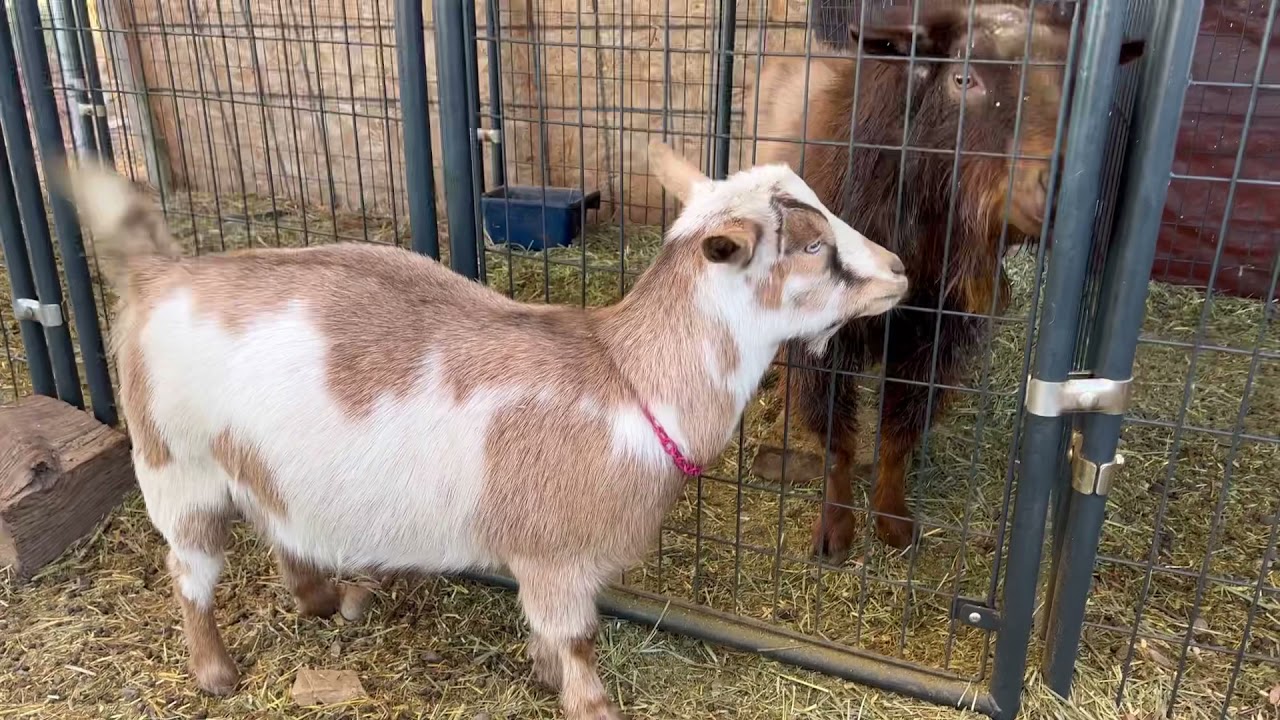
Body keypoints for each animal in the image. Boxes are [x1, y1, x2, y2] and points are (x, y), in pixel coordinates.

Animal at [60, 142, 907, 720]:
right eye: (812, 246)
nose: (900, 270)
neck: (629, 379)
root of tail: (160, 275)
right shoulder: (556, 555)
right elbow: (578, 639)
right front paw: (591, 703)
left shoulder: (552, 562)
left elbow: (550, 636)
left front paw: (543, 672)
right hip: (177, 468)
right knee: (188, 570)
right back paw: (215, 672)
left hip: (259, 465)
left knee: (280, 530)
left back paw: (327, 601)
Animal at [746, 1, 1144, 558]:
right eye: (963, 77)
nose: (1059, 190)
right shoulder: (821, 341)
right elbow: (835, 440)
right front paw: (836, 527)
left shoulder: (936, 338)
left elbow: (899, 435)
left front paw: (892, 519)